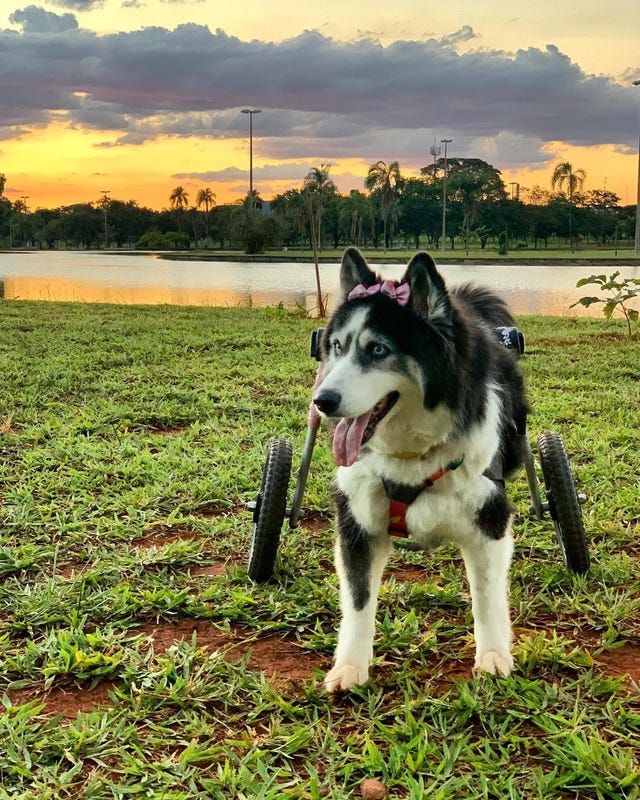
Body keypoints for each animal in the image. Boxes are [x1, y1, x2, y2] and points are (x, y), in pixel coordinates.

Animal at [312, 247, 528, 692]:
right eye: (337, 346)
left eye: (378, 350)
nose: (321, 401)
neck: (412, 456)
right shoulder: (357, 523)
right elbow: (358, 601)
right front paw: (351, 667)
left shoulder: (490, 521)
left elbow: (486, 598)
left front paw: (493, 655)